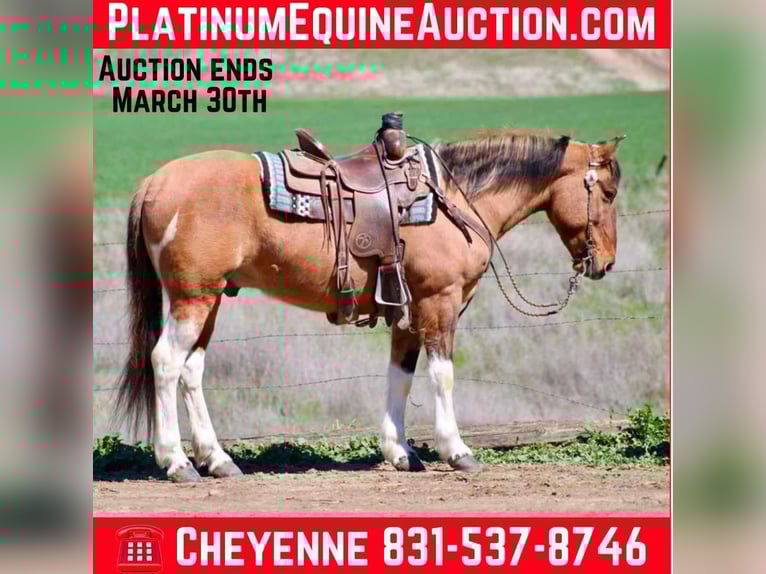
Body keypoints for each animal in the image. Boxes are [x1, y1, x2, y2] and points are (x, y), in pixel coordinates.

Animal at [116, 131, 623, 482]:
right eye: (609, 193)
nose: (605, 263)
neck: (455, 199)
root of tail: (155, 182)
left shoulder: (408, 310)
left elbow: (401, 375)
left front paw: (400, 453)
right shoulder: (439, 302)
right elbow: (442, 375)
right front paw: (457, 451)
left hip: (210, 298)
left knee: (191, 370)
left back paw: (217, 460)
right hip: (193, 298)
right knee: (166, 362)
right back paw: (177, 461)